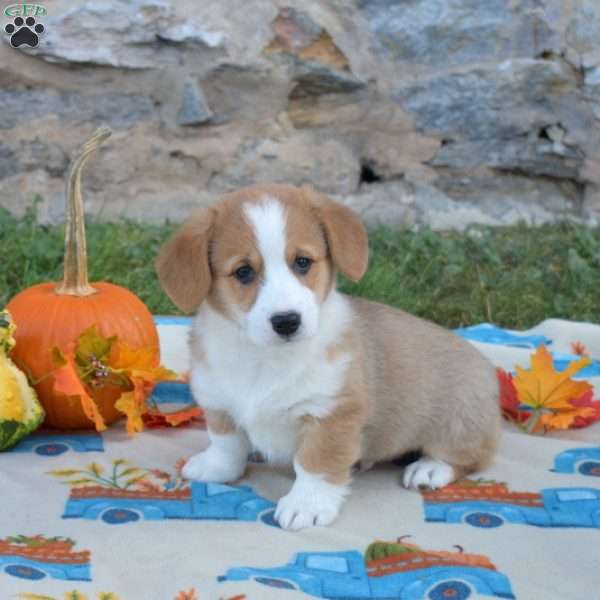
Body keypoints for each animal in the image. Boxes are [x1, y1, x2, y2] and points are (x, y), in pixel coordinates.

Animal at [156, 183, 502, 528]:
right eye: (243, 272)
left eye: (303, 262)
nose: (287, 321)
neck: (265, 358)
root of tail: (487, 369)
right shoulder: (219, 403)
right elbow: (225, 445)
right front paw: (215, 468)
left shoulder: (332, 412)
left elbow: (315, 464)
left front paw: (306, 504)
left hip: (458, 422)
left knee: (471, 456)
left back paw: (429, 468)